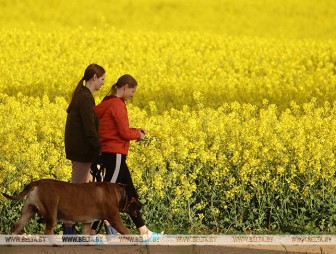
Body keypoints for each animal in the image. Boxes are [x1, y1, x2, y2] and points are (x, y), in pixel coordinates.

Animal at [1, 179, 140, 234]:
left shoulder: (86, 223)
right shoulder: (115, 219)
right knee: (48, 231)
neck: (118, 193)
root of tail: (37, 182)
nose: (141, 205)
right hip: (51, 212)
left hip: (28, 211)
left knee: (16, 227)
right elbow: (127, 232)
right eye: (135, 198)